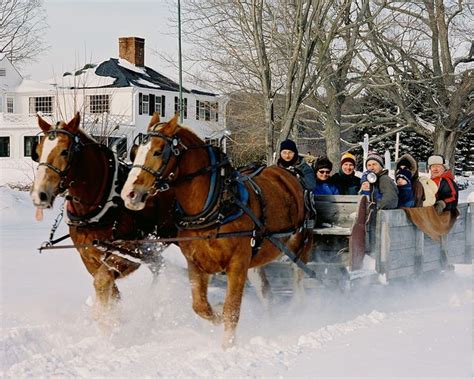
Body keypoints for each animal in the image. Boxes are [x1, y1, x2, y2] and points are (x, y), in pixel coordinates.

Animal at [30, 113, 177, 330]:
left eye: (65, 151)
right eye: (38, 152)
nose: (39, 195)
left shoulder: (126, 255)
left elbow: (101, 283)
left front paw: (107, 326)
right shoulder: (88, 257)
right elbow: (111, 292)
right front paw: (107, 320)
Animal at [120, 113, 312, 348]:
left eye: (158, 151)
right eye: (136, 151)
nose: (129, 194)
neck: (216, 205)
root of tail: (287, 172)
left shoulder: (237, 264)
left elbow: (232, 309)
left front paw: (227, 346)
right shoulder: (196, 264)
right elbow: (200, 306)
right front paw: (217, 313)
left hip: (299, 247)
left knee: (298, 282)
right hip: (256, 259)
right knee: (266, 293)